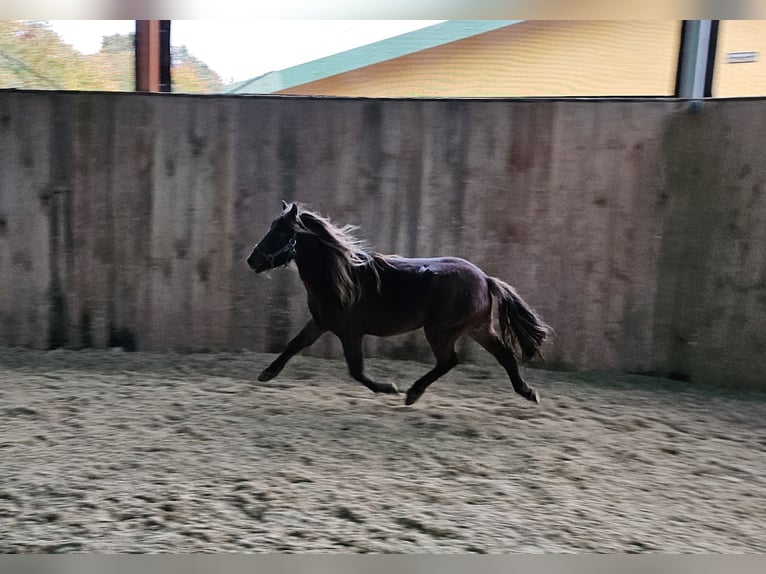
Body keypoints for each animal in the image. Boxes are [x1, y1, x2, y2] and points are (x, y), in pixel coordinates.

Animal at [249, 201, 548, 404]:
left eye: (280, 232)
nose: (252, 260)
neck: (342, 277)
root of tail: (486, 279)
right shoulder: (320, 323)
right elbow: (294, 345)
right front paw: (266, 373)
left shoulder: (349, 332)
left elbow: (356, 370)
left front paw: (388, 388)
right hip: (478, 329)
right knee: (504, 356)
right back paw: (528, 392)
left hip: (441, 331)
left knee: (449, 361)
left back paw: (412, 393)